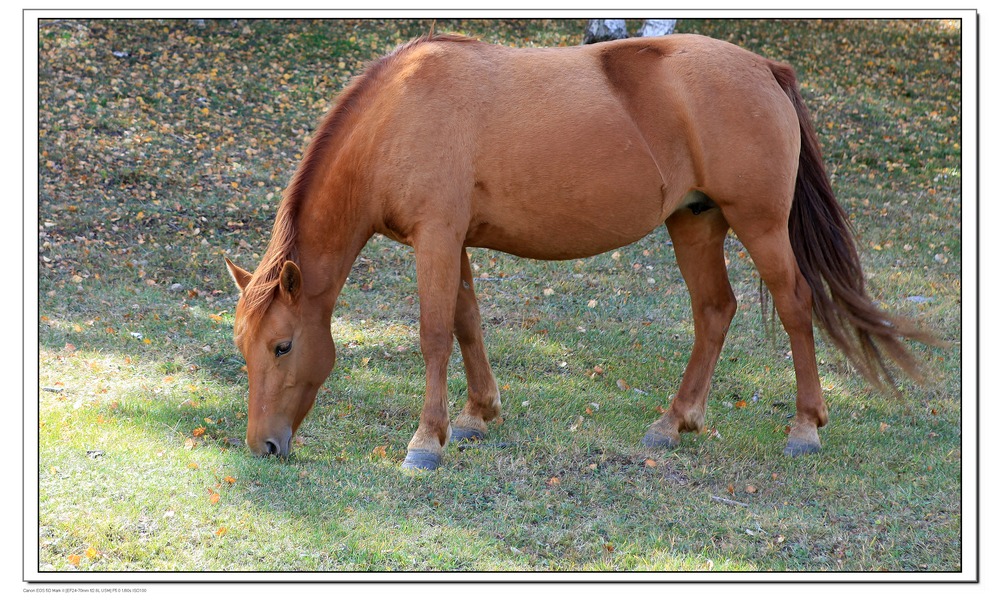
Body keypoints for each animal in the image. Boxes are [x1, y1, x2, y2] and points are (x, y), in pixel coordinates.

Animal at [225, 31, 928, 468]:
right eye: (244, 348)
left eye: (283, 346)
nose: (265, 447)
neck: (399, 113)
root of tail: (765, 69)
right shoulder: (454, 242)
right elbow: (467, 322)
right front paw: (478, 415)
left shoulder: (437, 238)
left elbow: (434, 333)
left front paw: (427, 441)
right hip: (695, 223)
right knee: (714, 311)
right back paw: (674, 423)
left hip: (758, 225)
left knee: (795, 304)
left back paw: (805, 427)